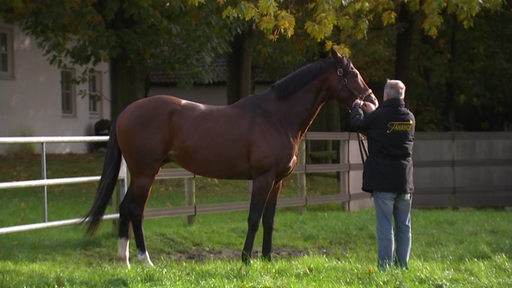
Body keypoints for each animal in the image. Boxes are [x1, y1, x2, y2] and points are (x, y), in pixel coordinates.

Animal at [84, 48, 376, 266]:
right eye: (352, 73)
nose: (371, 100)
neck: (277, 117)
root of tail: (126, 112)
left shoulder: (278, 181)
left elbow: (269, 220)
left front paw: (267, 259)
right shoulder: (263, 178)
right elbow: (254, 218)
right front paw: (246, 259)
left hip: (141, 173)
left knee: (125, 208)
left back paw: (125, 260)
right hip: (146, 172)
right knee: (135, 210)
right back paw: (145, 260)